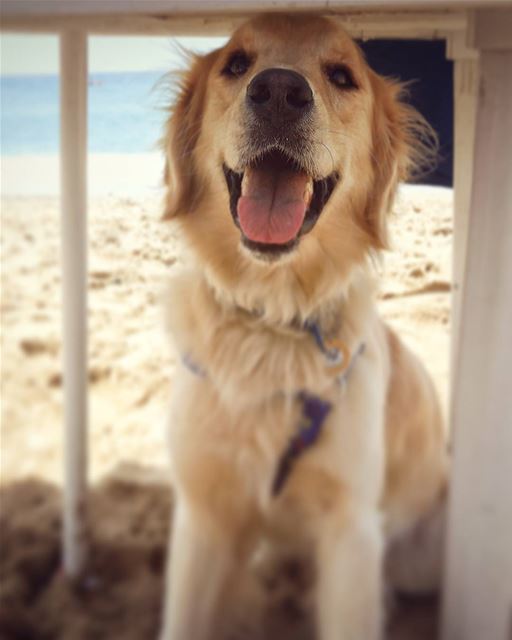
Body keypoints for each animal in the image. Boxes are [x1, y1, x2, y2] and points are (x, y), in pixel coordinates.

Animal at [160, 11, 448, 640]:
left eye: (341, 75)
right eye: (236, 64)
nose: (278, 92)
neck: (272, 321)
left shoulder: (352, 532)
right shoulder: (203, 518)